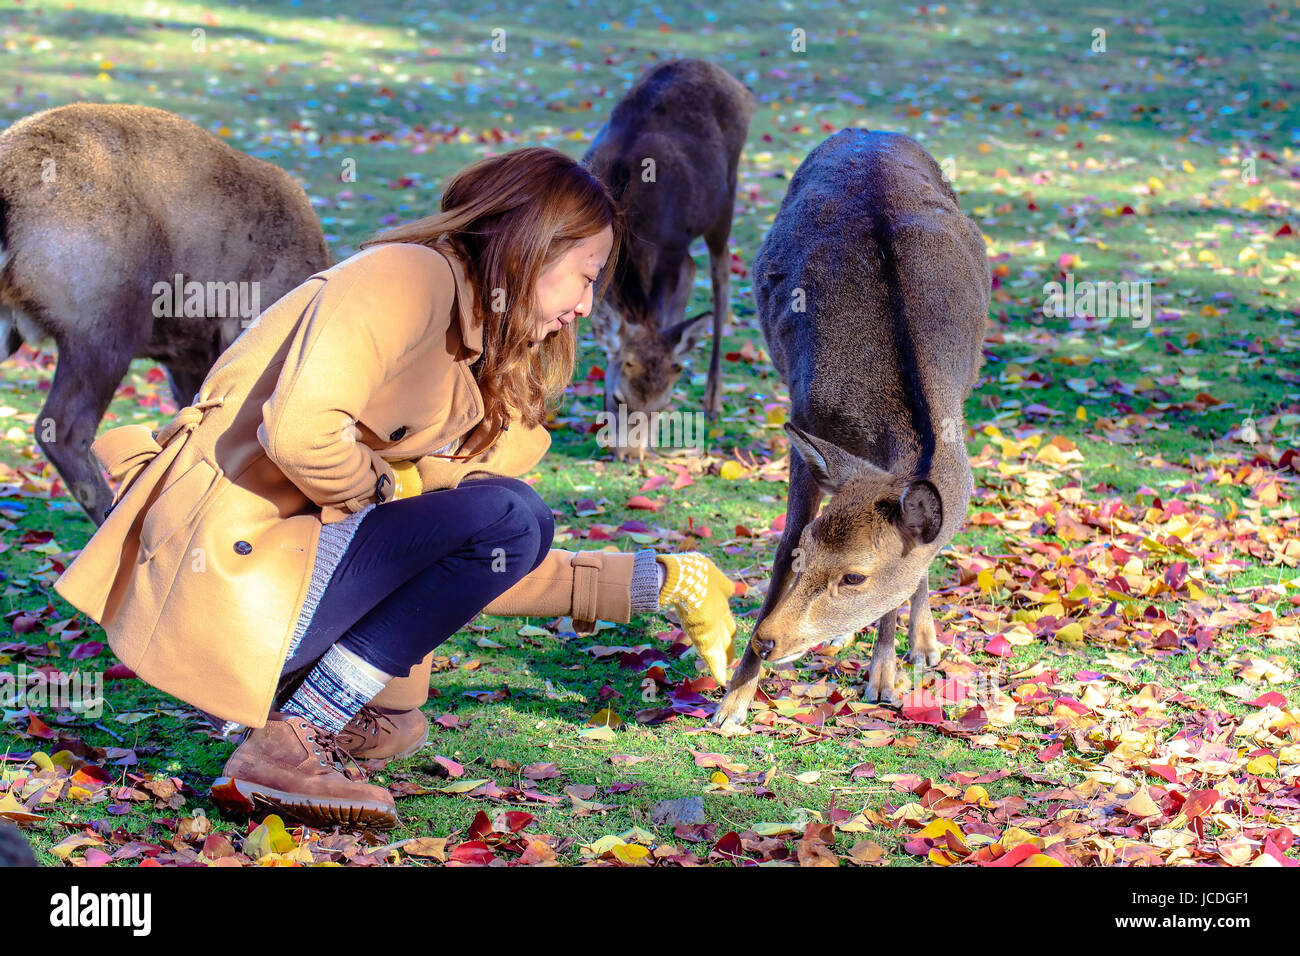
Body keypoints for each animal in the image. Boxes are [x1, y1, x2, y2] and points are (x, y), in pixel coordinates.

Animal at [585, 57, 759, 463]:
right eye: (616, 397)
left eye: (661, 404)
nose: (629, 456)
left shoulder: (670, 249)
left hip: (725, 199)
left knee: (720, 276)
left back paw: (713, 398)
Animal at [712, 125, 982, 723]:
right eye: (804, 555)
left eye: (855, 575)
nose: (766, 640)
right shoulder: (803, 421)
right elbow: (778, 548)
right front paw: (732, 701)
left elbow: (913, 568)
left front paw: (885, 678)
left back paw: (923, 645)